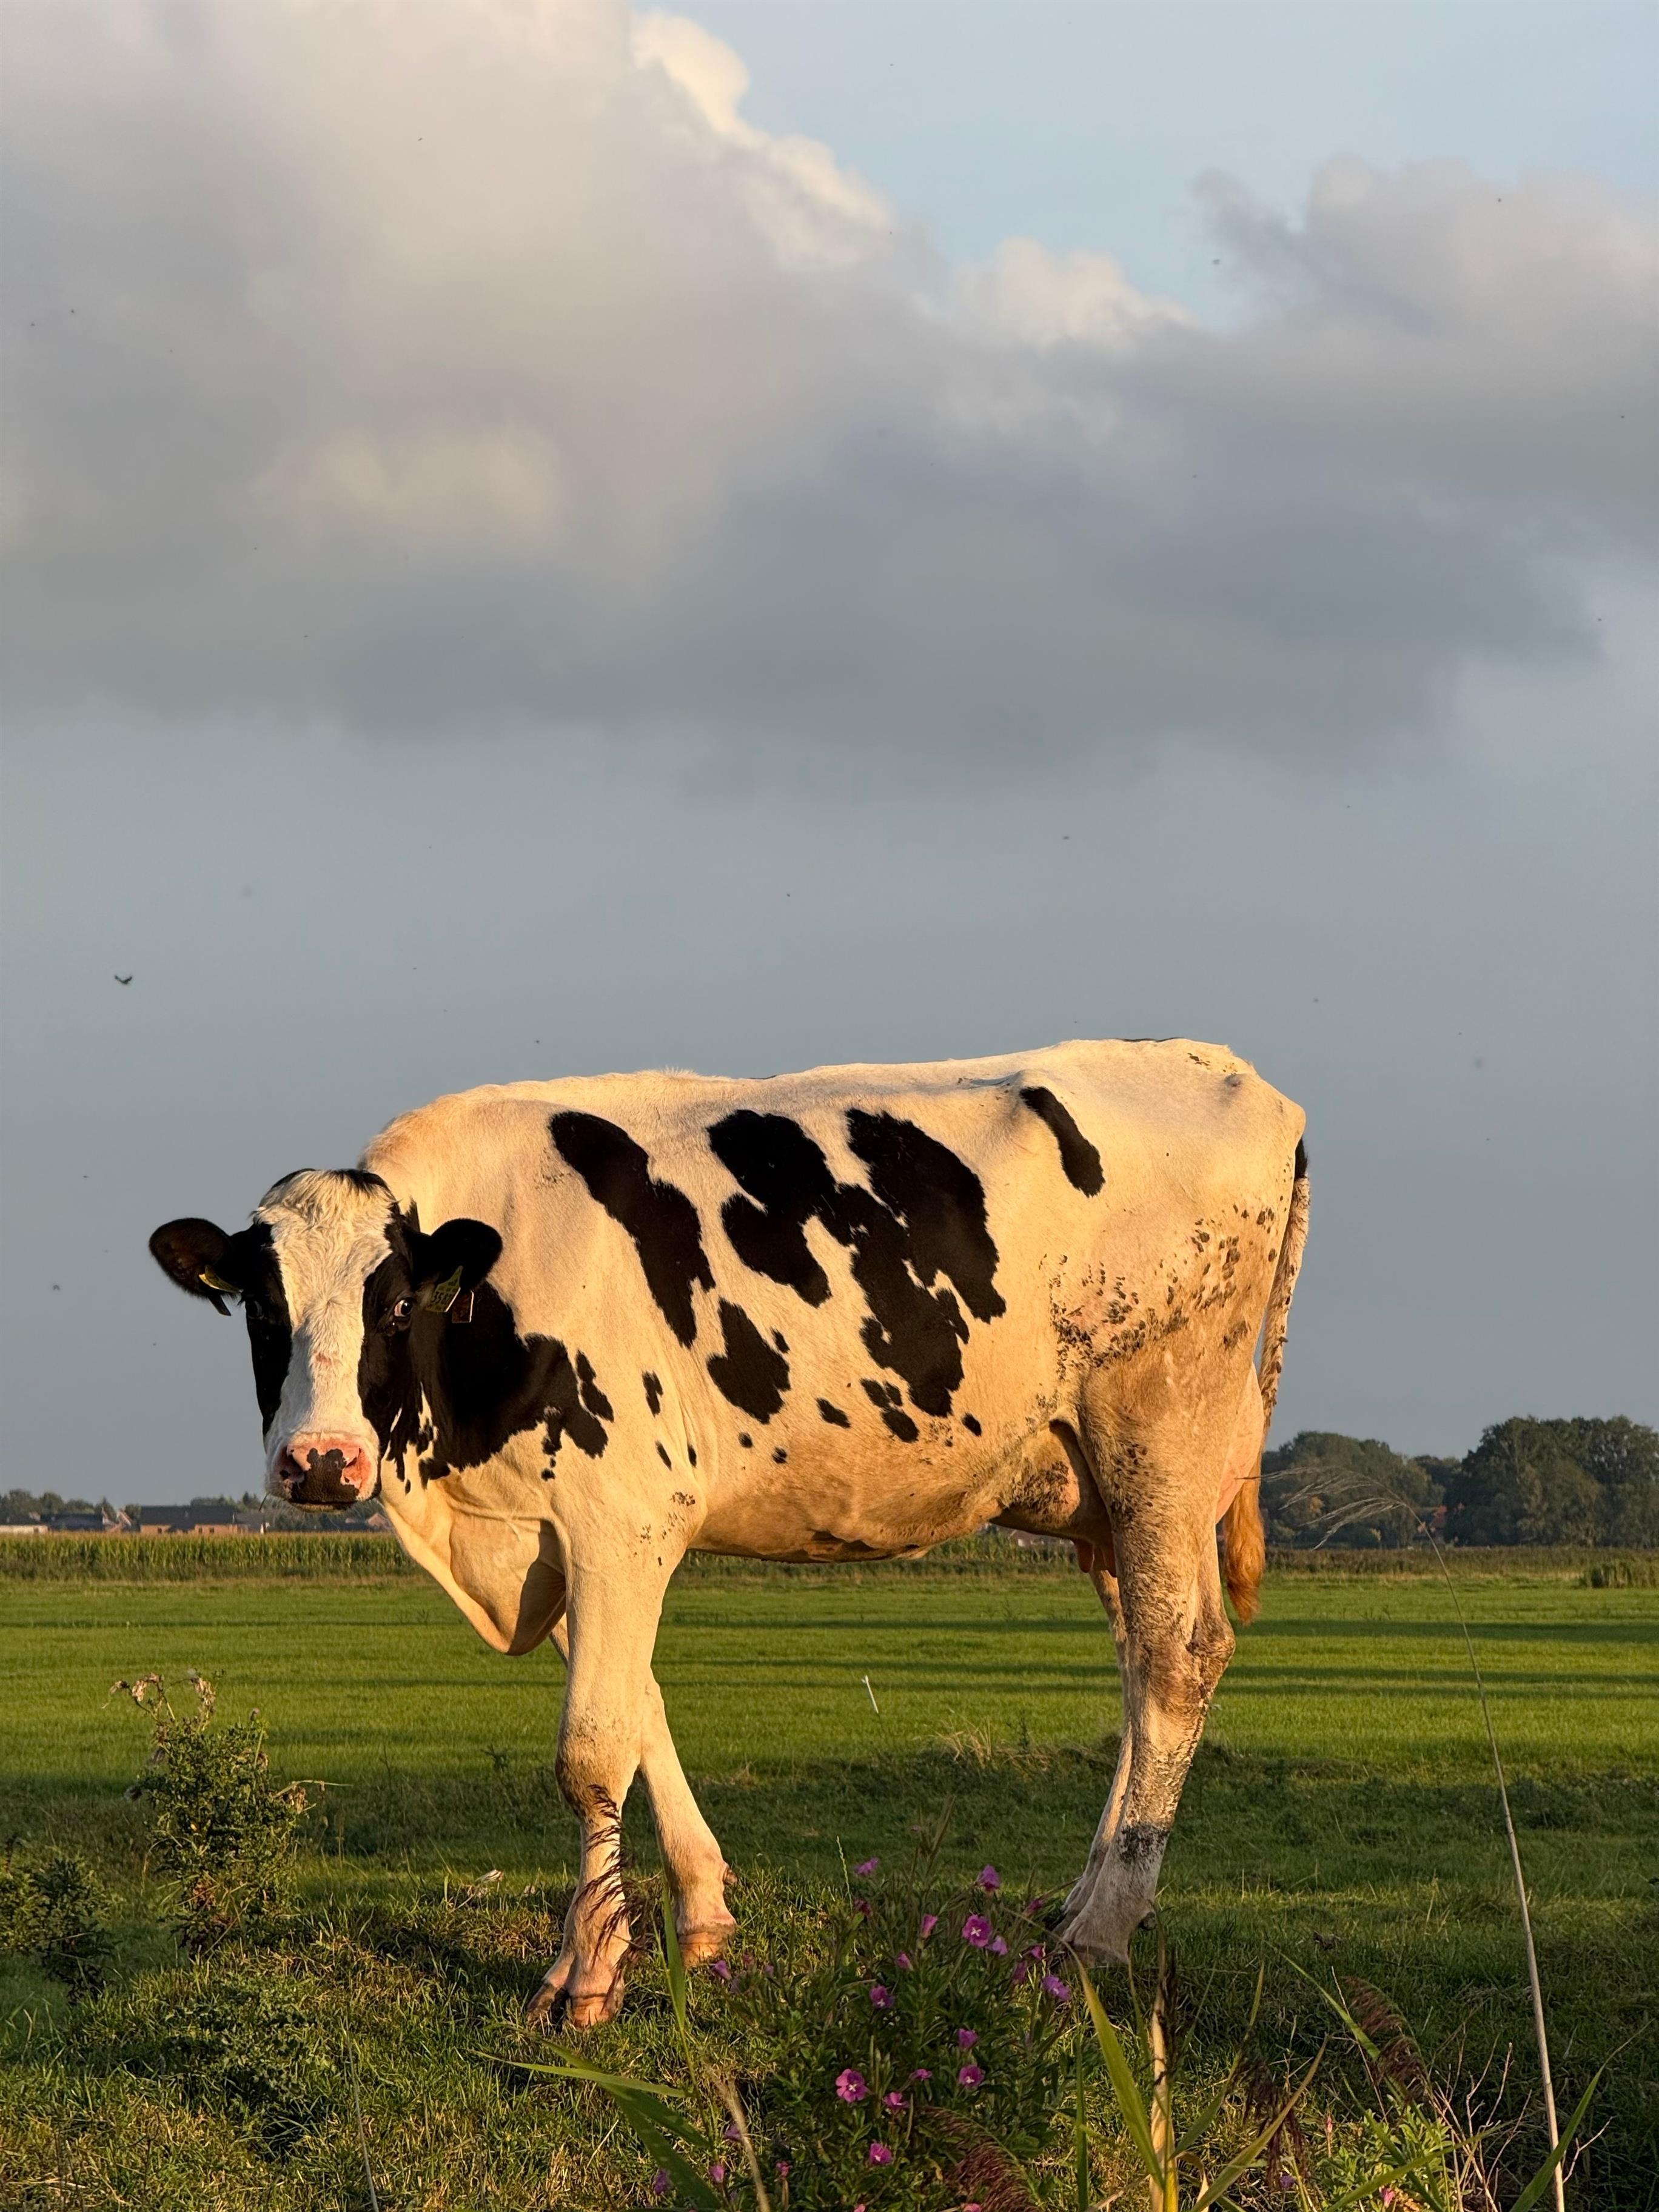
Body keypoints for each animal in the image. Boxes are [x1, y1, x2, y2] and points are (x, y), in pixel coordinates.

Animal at [149, 1038, 1308, 2027]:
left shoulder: (622, 1516)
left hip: (1159, 1434)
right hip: (1104, 1493)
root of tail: (1231, 1072)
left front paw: (589, 1978)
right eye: (262, 1308)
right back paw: (1081, 1903)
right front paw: (697, 1918)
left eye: (393, 1306)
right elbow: (641, 1708)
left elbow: (592, 1747)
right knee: (1140, 1665)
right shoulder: (561, 1533)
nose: (320, 1462)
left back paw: (1096, 1936)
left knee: (1176, 1657)